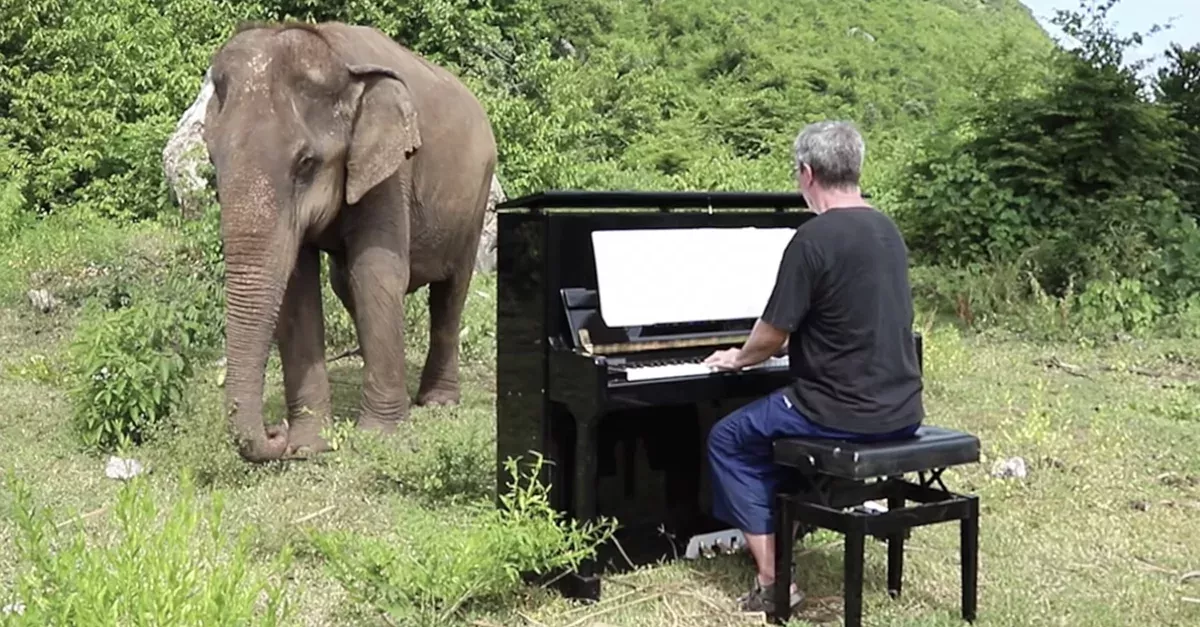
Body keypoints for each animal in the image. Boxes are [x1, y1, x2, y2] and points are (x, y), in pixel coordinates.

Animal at [201, 21, 497, 462]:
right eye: (212, 160)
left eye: (306, 163)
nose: (276, 432)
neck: (334, 53)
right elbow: (298, 288)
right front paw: (309, 446)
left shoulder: (392, 170)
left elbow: (376, 272)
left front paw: (379, 437)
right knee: (345, 284)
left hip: (476, 198)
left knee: (451, 291)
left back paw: (437, 402)